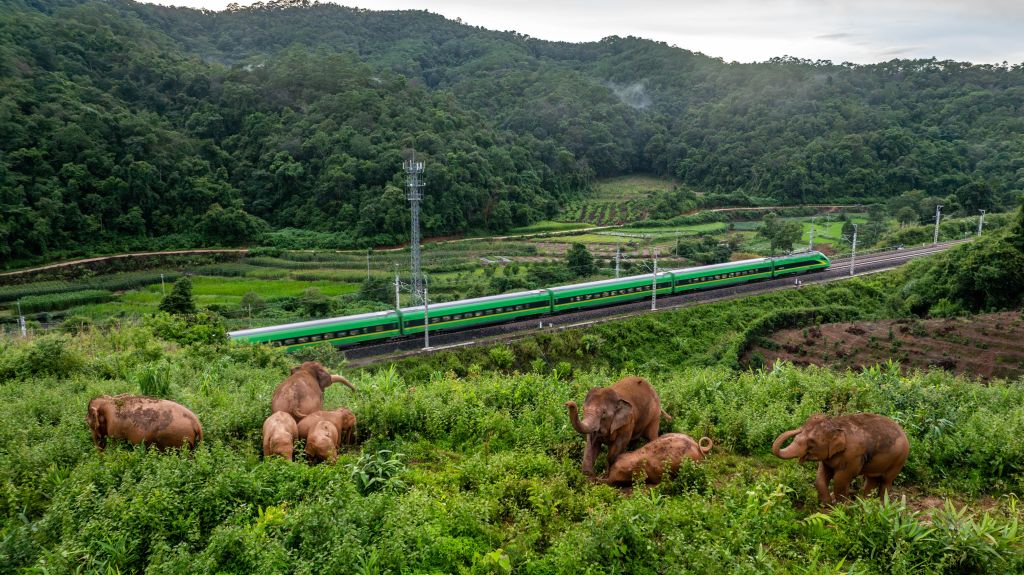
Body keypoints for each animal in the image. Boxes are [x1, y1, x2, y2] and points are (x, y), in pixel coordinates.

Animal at [772, 413, 910, 506]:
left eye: (811, 442)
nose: (798, 428)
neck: (836, 424)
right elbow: (821, 476)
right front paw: (826, 504)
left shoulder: (852, 455)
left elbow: (840, 479)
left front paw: (841, 507)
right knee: (872, 479)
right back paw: (863, 502)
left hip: (899, 460)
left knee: (886, 481)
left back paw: (879, 505)